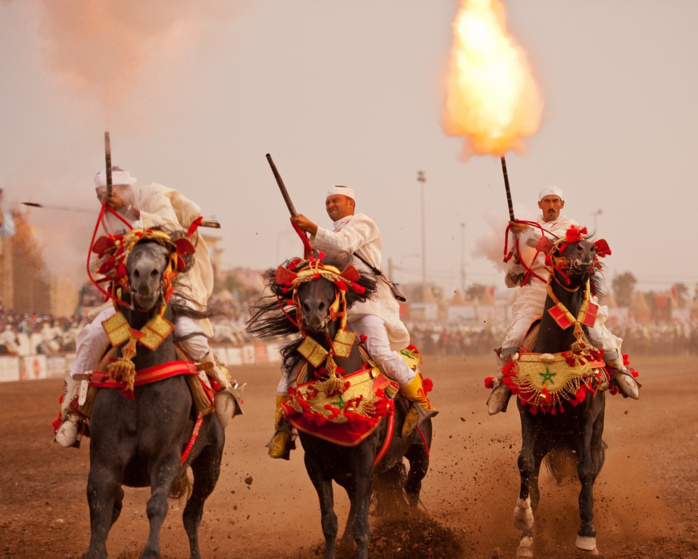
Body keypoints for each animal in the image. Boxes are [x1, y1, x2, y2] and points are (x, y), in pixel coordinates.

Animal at [82, 233, 224, 559]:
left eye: (164, 256)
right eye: (129, 256)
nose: (145, 276)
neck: (141, 382)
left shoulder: (166, 455)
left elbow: (157, 505)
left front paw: (151, 550)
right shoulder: (104, 460)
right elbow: (100, 505)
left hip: (211, 460)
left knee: (192, 514)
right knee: (118, 504)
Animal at [245, 260, 430, 559]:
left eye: (330, 286)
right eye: (301, 287)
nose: (313, 312)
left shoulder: (364, 461)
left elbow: (362, 526)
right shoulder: (317, 464)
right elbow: (329, 522)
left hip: (419, 455)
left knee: (412, 489)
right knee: (359, 502)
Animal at [508, 231, 608, 556]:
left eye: (590, 246)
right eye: (561, 246)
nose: (587, 250)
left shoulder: (586, 420)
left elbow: (586, 471)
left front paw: (587, 536)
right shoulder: (528, 415)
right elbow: (525, 464)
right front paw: (523, 523)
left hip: (591, 437)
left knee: (590, 468)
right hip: (547, 439)